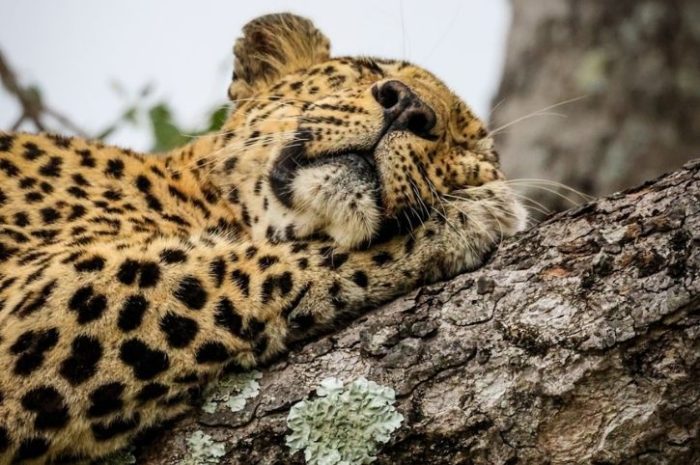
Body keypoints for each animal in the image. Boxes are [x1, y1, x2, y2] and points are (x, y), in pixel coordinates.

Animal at [0, 13, 527, 464]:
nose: (408, 106)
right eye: (369, 70)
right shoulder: (33, 293)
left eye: (466, 147)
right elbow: (260, 266)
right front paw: (473, 214)